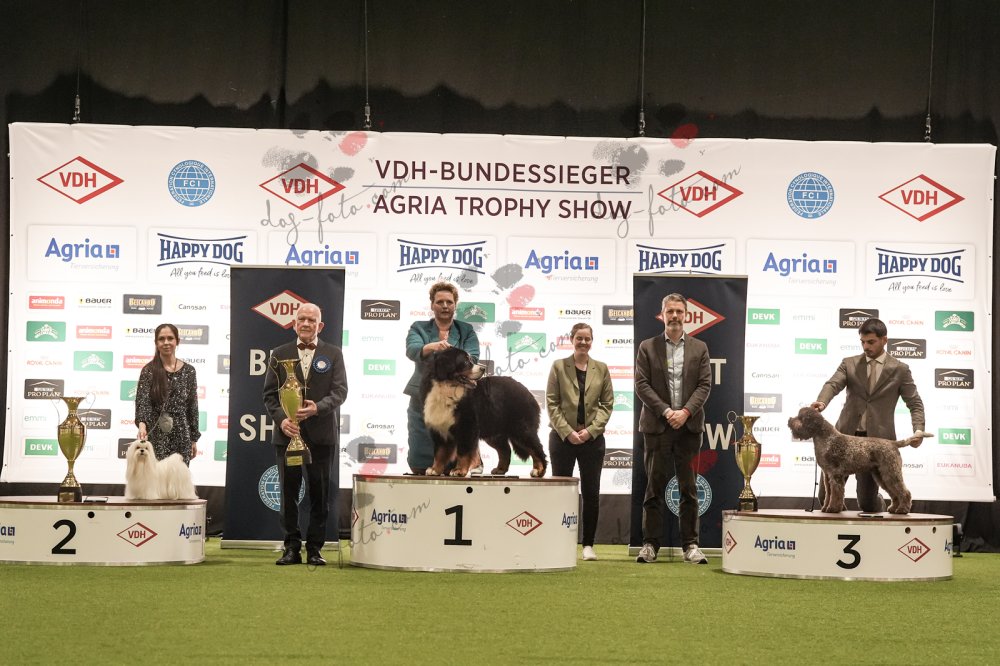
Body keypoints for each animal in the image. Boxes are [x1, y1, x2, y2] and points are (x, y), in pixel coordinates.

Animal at [420, 346, 547, 477]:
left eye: (470, 359)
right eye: (465, 361)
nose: (483, 368)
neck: (446, 389)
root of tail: (529, 393)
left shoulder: (466, 427)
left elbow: (463, 452)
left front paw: (459, 470)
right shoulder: (439, 428)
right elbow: (439, 453)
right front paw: (435, 469)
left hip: (521, 429)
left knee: (537, 449)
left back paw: (539, 470)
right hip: (494, 432)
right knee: (505, 450)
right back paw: (500, 469)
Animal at [787, 407, 930, 514]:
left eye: (801, 418)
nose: (789, 419)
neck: (826, 438)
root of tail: (893, 443)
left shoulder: (835, 475)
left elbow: (836, 494)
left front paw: (833, 508)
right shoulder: (827, 475)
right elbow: (828, 494)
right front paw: (826, 508)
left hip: (891, 472)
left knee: (904, 492)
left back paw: (902, 510)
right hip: (881, 475)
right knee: (894, 493)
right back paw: (893, 509)